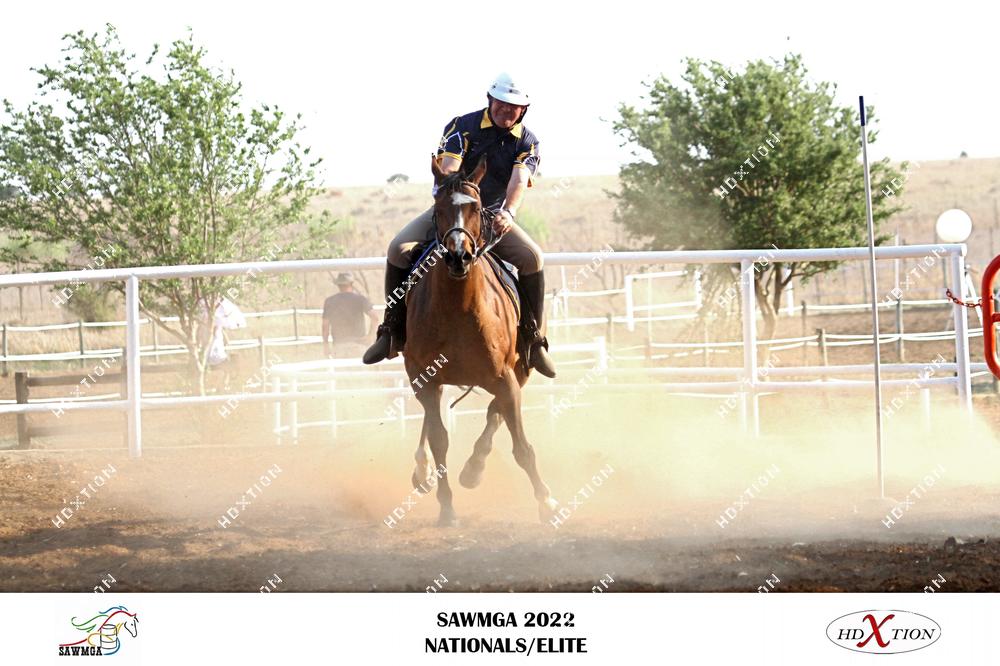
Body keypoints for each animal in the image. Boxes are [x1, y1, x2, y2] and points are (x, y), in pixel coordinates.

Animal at [403, 154, 559, 526]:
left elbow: (521, 447)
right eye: (438, 207)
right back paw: (423, 469)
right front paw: (447, 507)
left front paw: (545, 501)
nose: (458, 256)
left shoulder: (505, 378)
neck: (458, 307)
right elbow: (440, 440)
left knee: (494, 414)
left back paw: (474, 468)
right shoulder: (425, 380)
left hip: (519, 372)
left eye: (475, 207)